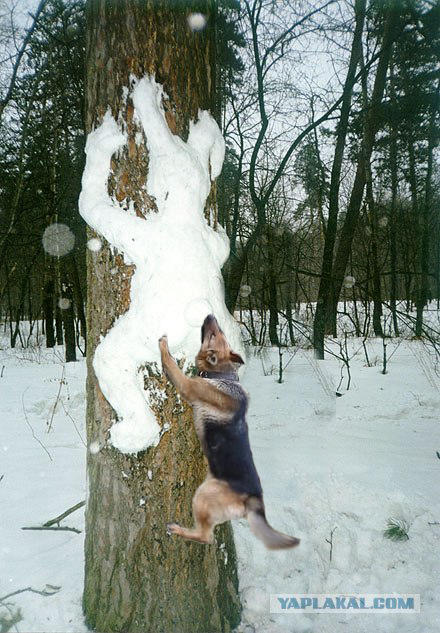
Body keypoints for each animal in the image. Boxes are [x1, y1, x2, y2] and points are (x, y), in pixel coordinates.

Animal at [158, 314, 300, 548]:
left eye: (214, 335)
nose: (211, 316)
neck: (221, 375)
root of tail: (254, 502)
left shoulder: (188, 386)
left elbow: (170, 363)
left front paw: (163, 345)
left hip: (203, 495)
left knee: (206, 537)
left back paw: (178, 530)